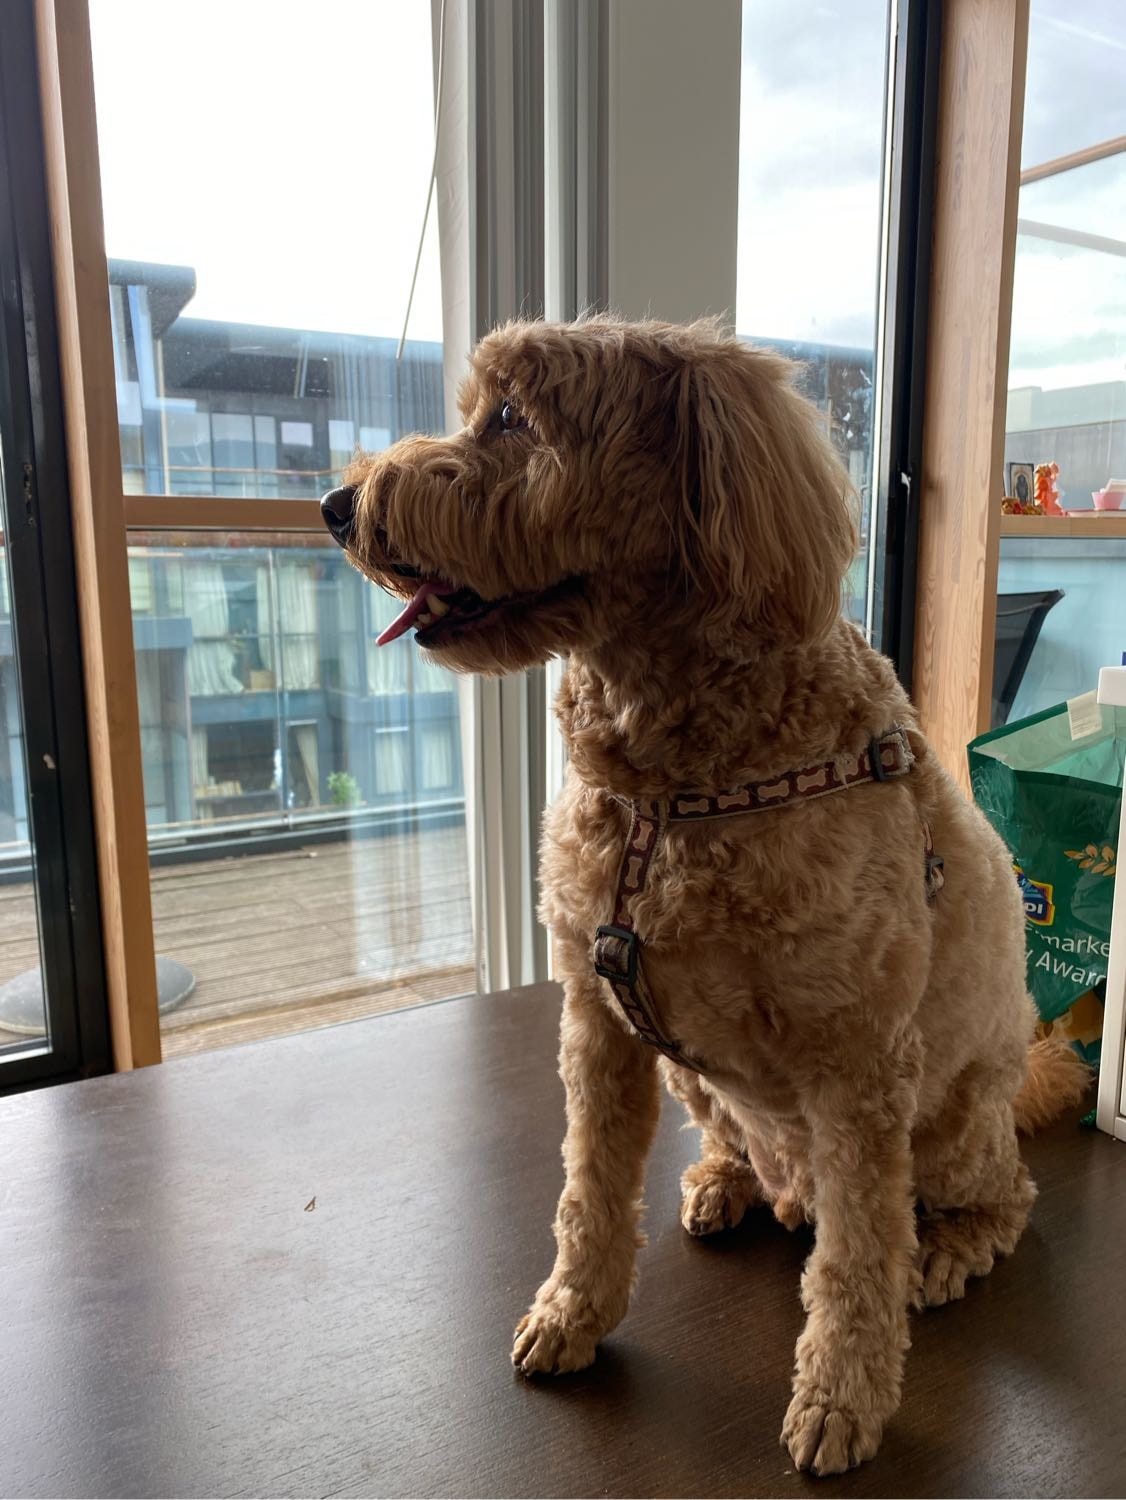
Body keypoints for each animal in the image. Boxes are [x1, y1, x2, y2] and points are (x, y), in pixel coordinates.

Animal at [321, 317, 1087, 1476]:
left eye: (512, 417)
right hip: (690, 1073)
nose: (337, 504)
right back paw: (726, 1179)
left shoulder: (860, 1065)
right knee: (747, 1152)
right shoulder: (594, 1019)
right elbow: (588, 1193)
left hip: (951, 1128)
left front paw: (841, 1397)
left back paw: (948, 1249)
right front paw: (572, 1313)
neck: (672, 791)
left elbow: (857, 1256)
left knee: (1003, 1196)